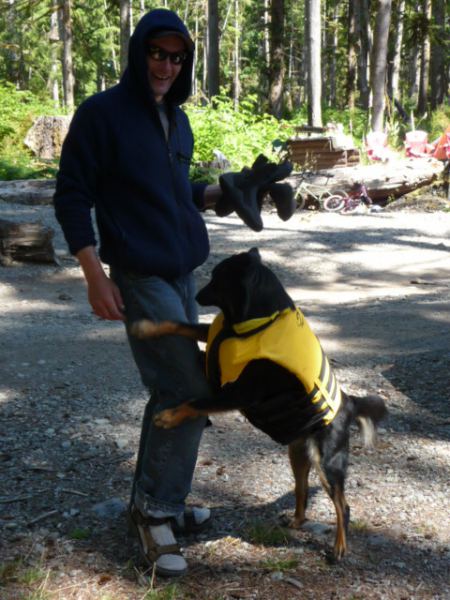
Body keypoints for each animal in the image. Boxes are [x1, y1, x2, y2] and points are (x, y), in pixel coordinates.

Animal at [131, 247, 386, 556]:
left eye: (217, 278)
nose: (198, 295)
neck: (255, 322)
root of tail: (349, 403)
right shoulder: (213, 333)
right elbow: (181, 324)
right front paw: (147, 327)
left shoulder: (238, 392)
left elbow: (195, 402)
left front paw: (168, 416)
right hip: (298, 454)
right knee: (302, 490)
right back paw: (296, 521)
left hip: (329, 462)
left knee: (343, 506)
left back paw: (339, 546)